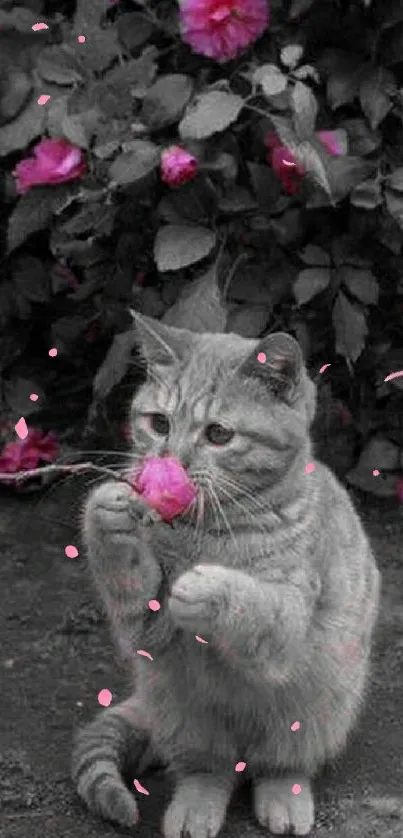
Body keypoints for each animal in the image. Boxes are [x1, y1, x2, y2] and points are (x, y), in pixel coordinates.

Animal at [72, 316, 382, 838]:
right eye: (159, 424)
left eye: (218, 434)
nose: (170, 463)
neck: (210, 531)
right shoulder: (149, 630)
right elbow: (133, 586)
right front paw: (107, 513)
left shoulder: (289, 626)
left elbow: (255, 602)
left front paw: (206, 588)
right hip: (183, 714)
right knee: (208, 771)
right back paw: (195, 807)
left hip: (311, 715)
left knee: (280, 766)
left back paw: (283, 799)